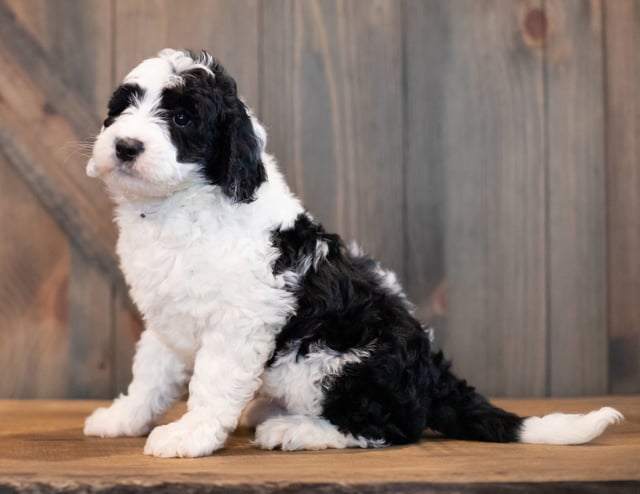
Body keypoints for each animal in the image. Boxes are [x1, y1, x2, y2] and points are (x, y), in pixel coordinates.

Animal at [82, 48, 624, 458]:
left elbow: (211, 383)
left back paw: (294, 429)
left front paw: (188, 435)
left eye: (181, 117)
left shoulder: (238, 322)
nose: (125, 146)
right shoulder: (166, 318)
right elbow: (151, 375)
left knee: (389, 427)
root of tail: (434, 374)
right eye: (123, 108)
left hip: (337, 364)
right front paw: (122, 418)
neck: (180, 206)